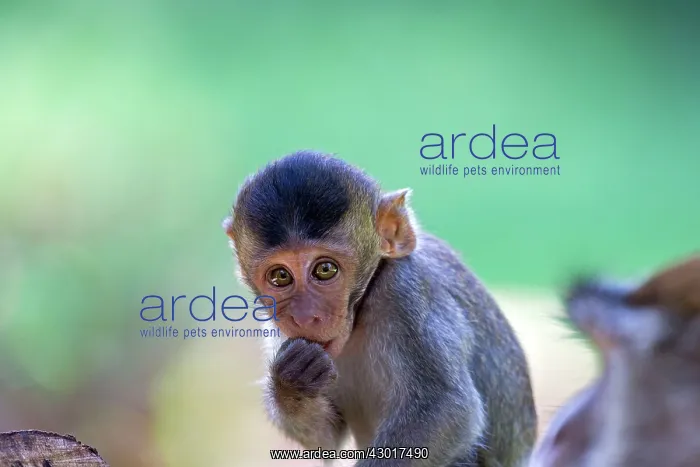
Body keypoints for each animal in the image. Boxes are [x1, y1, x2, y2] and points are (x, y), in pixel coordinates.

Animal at [223, 150, 538, 466]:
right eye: (281, 276)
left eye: (325, 269)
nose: (303, 317)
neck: (361, 310)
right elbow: (326, 438)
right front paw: (292, 381)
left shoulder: (405, 294)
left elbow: (447, 409)